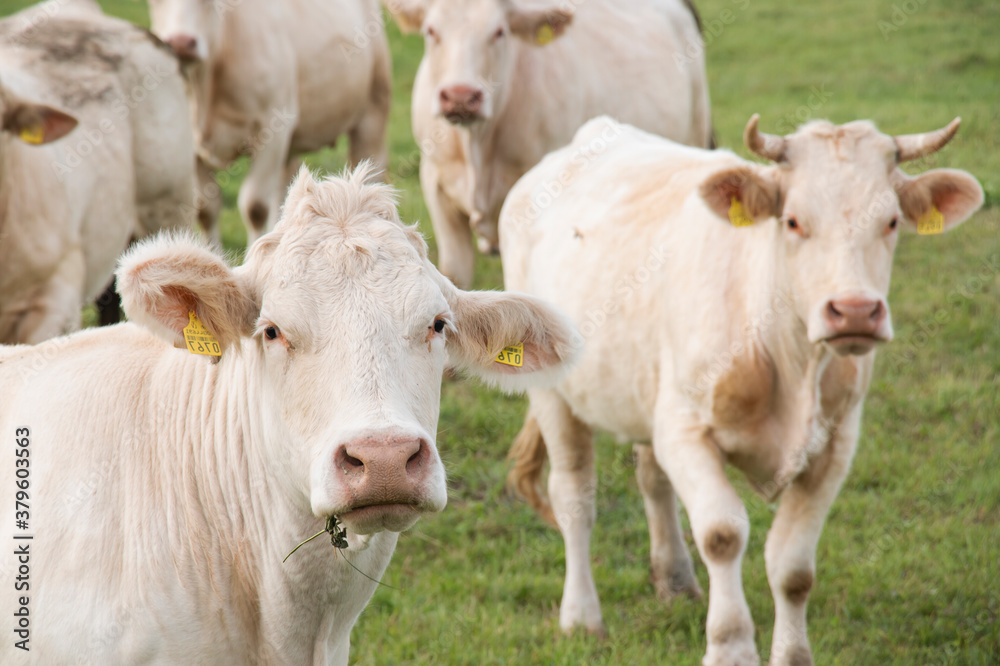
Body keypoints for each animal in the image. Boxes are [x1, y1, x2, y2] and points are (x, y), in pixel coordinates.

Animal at [150, 0, 392, 241]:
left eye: (209, 2)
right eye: (155, 2)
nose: (181, 43)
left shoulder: (273, 129)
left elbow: (255, 207)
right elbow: (205, 210)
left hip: (373, 112)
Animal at [500, 116, 984, 660]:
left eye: (893, 222)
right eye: (792, 221)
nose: (856, 311)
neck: (787, 358)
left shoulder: (836, 445)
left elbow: (793, 568)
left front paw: (793, 656)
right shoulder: (686, 430)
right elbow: (722, 535)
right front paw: (730, 648)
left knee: (652, 480)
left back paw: (675, 582)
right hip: (551, 391)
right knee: (574, 495)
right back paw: (581, 616)